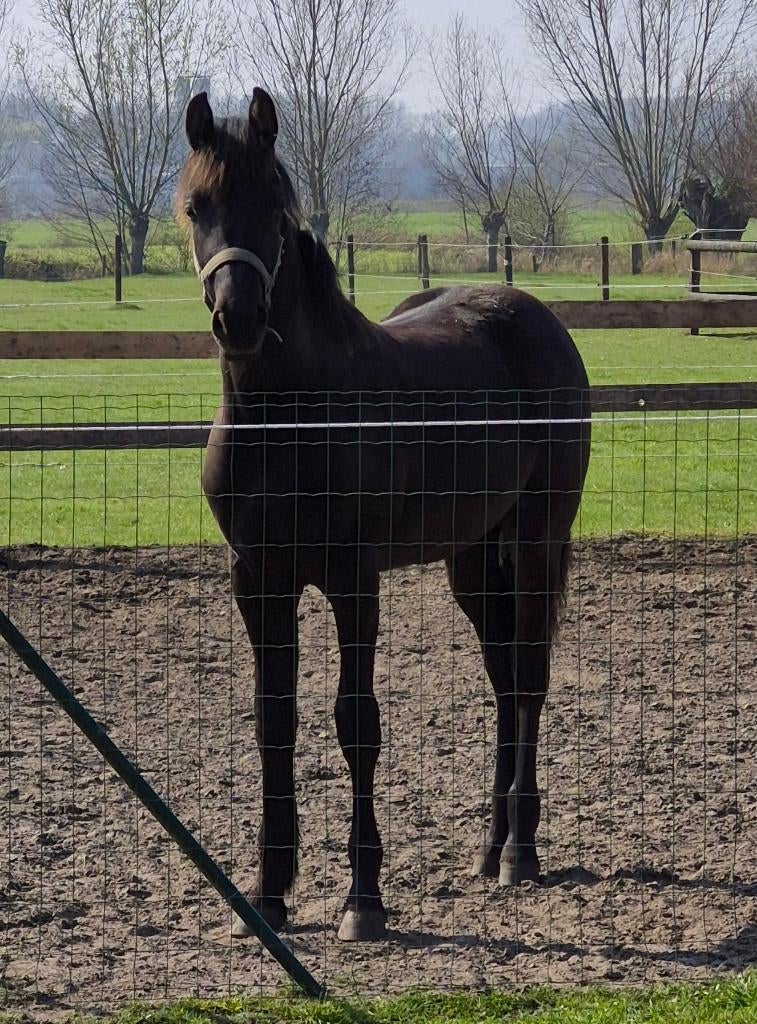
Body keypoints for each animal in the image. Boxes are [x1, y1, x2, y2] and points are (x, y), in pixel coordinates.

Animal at [178, 88, 591, 942]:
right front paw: (268, 893)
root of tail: (535, 316)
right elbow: (274, 722)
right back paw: (489, 845)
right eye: (196, 205)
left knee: (529, 679)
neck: (287, 417)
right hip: (474, 559)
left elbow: (355, 722)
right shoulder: (258, 580)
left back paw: (520, 853)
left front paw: (361, 899)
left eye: (274, 207)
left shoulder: (352, 581)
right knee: (503, 679)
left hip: (538, 539)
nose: (239, 317)